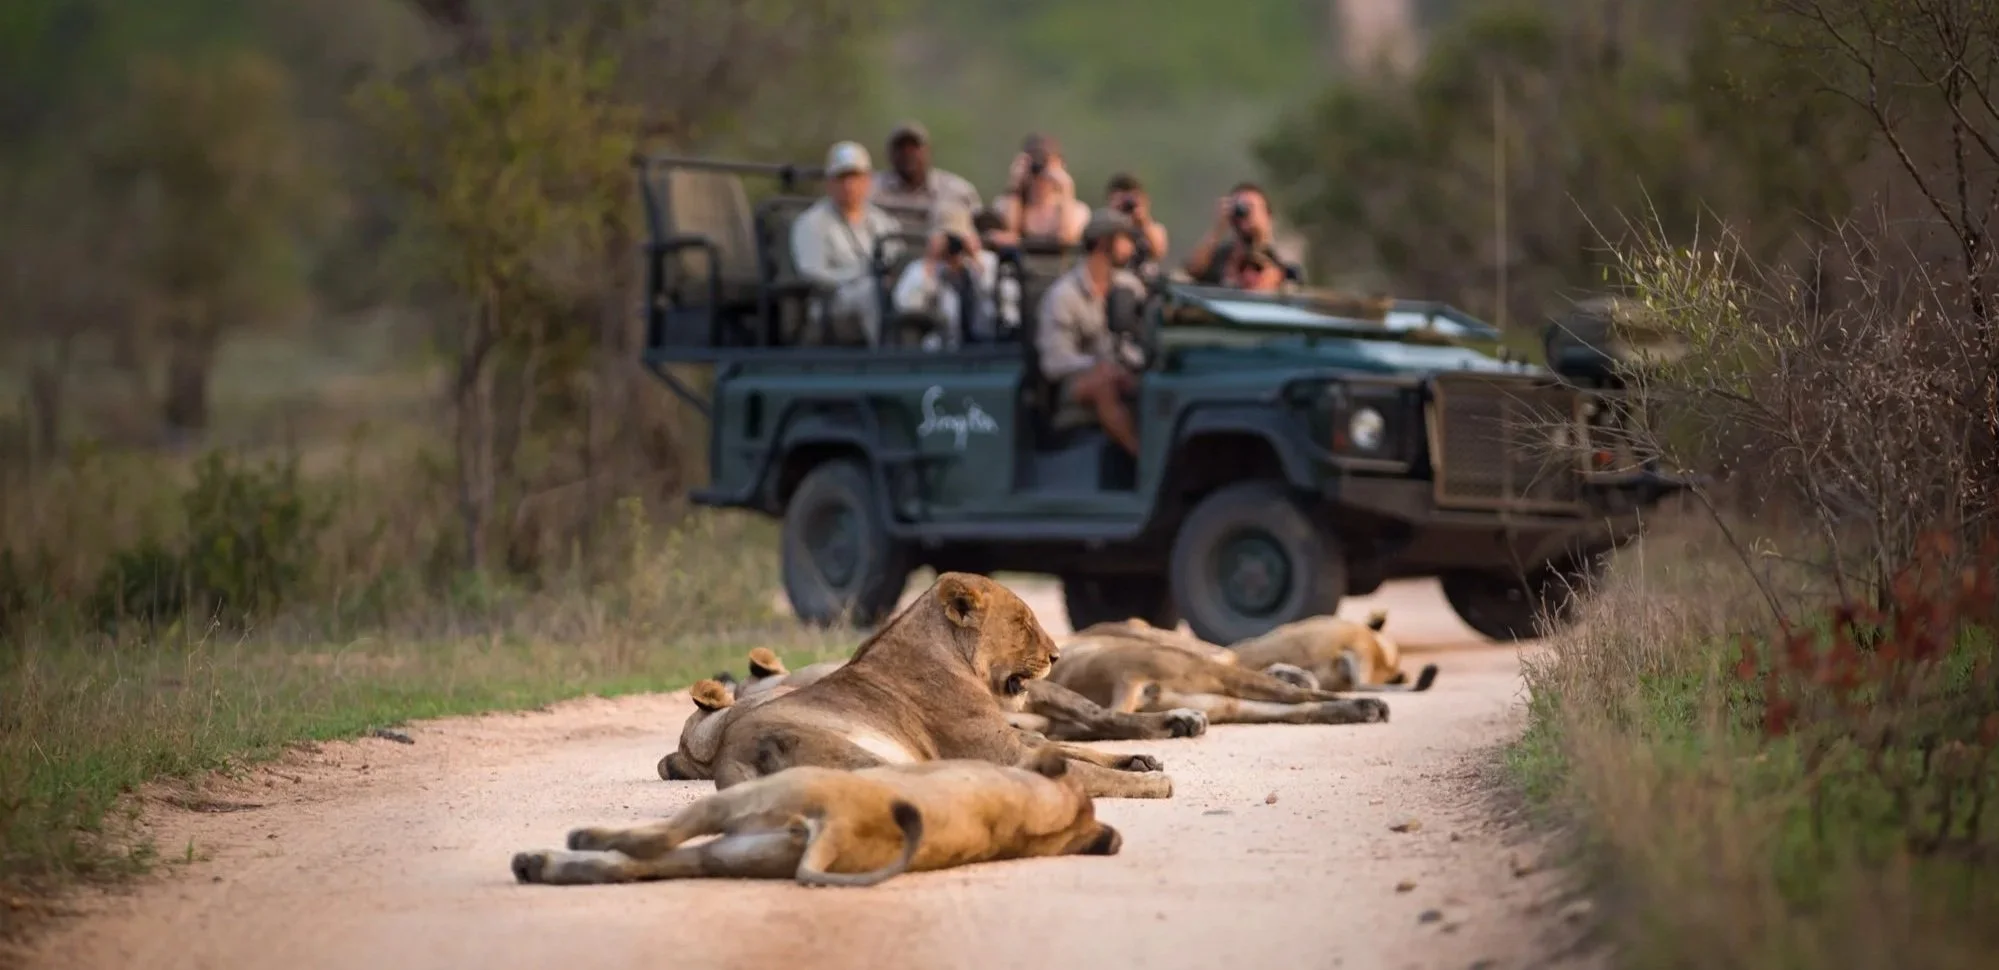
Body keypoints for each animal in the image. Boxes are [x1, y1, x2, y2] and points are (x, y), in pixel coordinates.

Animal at [663, 572, 1174, 799]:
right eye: (1023, 623)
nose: (1056, 656)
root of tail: (730, 757)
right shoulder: (1007, 753)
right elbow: (1085, 769)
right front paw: (1151, 781)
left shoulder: (1014, 739)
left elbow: (1073, 748)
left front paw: (1139, 759)